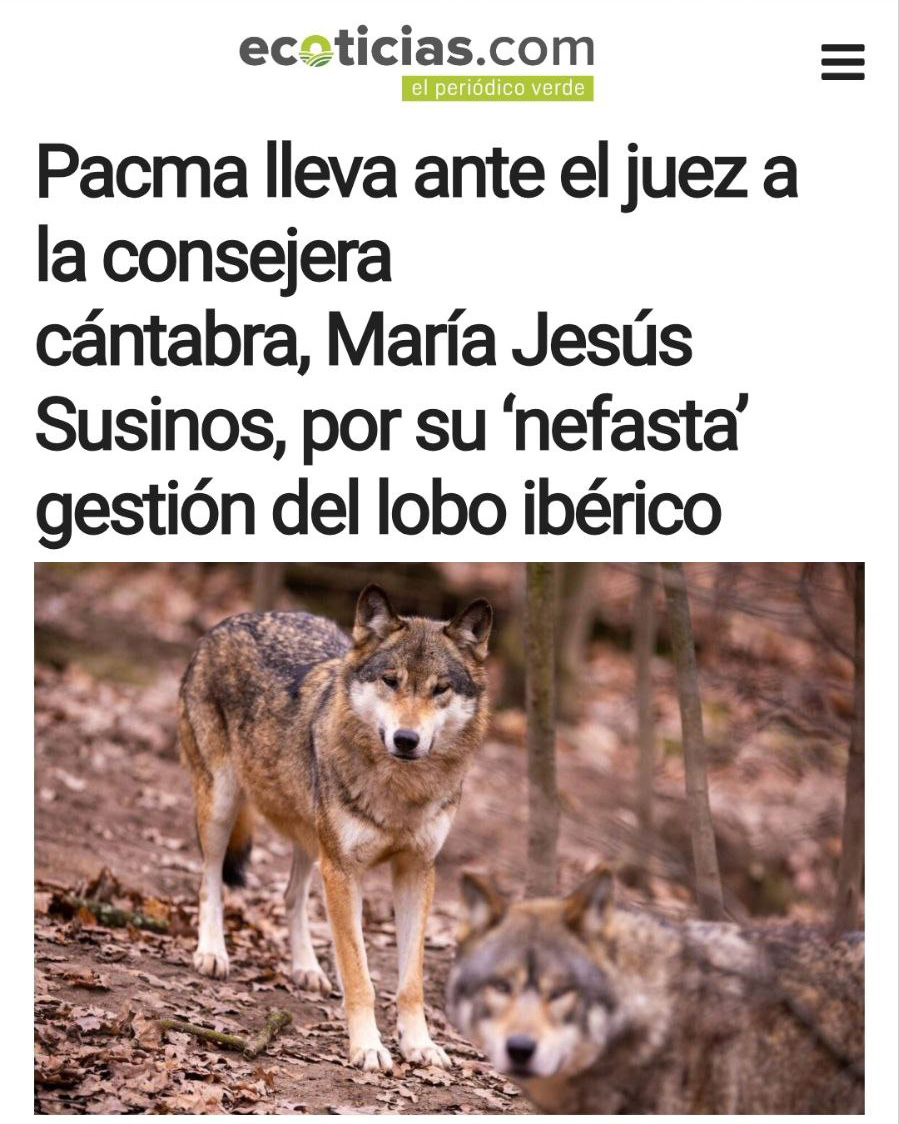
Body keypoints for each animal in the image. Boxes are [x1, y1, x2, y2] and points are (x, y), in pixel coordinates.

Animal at [179, 584, 492, 1072]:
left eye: (440, 688)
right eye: (390, 680)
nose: (406, 739)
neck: (401, 793)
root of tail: (230, 620)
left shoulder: (417, 871)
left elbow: (411, 981)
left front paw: (419, 1044)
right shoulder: (344, 872)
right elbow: (359, 974)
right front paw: (368, 1047)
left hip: (311, 839)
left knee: (291, 896)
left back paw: (306, 969)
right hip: (222, 805)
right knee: (209, 879)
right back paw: (212, 952)